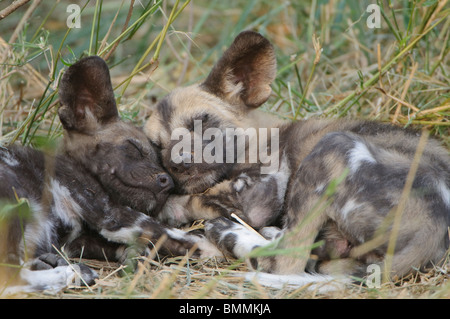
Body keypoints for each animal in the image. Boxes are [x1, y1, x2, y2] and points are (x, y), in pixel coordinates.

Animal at [0, 55, 216, 296]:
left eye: (162, 163)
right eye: (134, 147)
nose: (166, 182)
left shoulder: (81, 240)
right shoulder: (110, 212)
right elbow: (184, 236)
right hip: (16, 200)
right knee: (11, 278)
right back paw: (74, 273)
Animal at [146, 31, 448, 284]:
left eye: (201, 123)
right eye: (157, 146)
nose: (178, 163)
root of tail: (433, 229)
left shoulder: (257, 195)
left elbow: (193, 198)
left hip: (331, 148)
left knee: (284, 262)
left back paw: (229, 233)